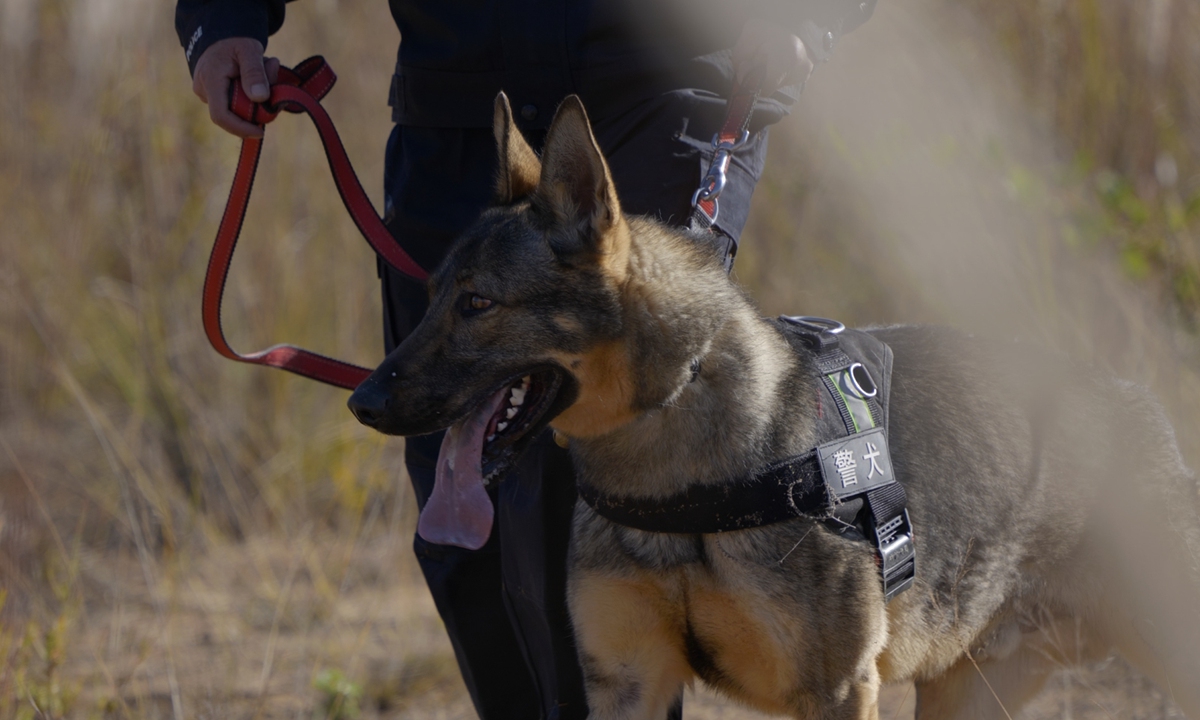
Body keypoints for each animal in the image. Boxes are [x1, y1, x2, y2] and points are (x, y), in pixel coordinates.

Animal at [350, 95, 1200, 720]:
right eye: (432, 298)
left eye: (478, 304)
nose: (363, 401)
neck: (673, 466)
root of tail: (1143, 403)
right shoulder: (626, 684)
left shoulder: (837, 691)